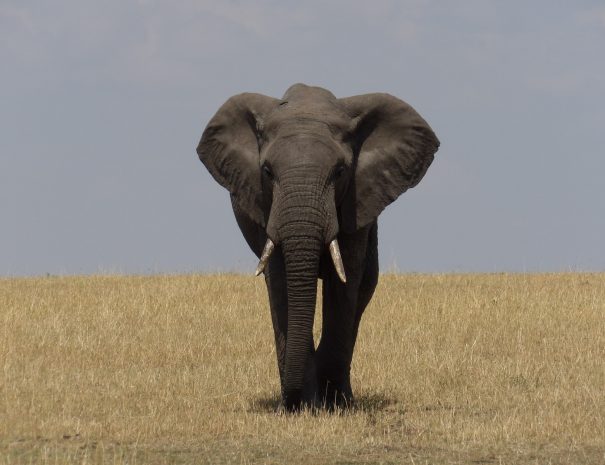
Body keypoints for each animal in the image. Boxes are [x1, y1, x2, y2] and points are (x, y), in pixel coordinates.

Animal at [198, 83, 438, 410]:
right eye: (267, 172)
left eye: (340, 172)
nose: (289, 402)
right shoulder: (267, 208)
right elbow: (281, 281)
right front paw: (303, 407)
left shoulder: (355, 202)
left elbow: (344, 282)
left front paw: (336, 405)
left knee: (365, 287)